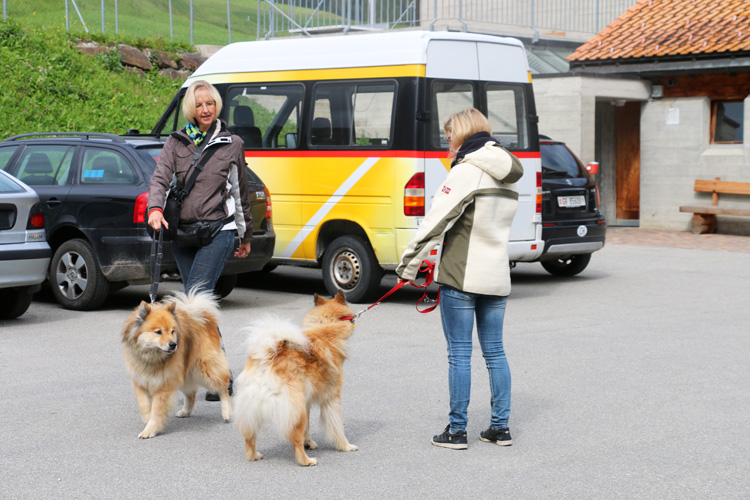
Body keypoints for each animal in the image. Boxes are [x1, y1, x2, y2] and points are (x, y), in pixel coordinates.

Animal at [122, 292, 232, 440]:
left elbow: (157, 411)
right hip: (184, 374)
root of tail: (201, 317)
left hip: (205, 370)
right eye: (158, 332)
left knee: (222, 388)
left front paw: (150, 430)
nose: (173, 345)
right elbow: (143, 405)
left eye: (172, 331)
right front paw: (146, 419)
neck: (151, 356)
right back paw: (186, 411)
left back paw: (226, 412)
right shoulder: (140, 382)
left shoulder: (163, 385)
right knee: (191, 392)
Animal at [235, 292, 362, 466]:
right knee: (295, 439)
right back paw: (307, 460)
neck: (326, 325)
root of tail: (267, 357)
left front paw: (308, 442)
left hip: (254, 410)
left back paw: (254, 455)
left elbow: (307, 428)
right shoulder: (332, 398)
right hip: (295, 409)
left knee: (249, 437)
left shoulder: (306, 402)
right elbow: (337, 428)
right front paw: (346, 446)